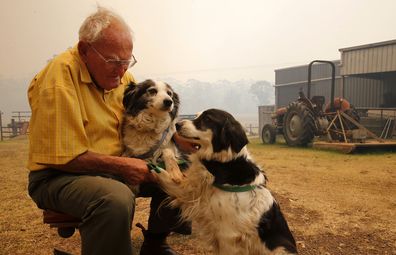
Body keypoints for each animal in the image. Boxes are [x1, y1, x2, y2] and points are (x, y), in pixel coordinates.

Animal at [153, 109, 296, 255]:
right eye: (197, 116)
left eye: (207, 119)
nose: (177, 125)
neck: (225, 163)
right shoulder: (192, 193)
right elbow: (166, 170)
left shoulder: (228, 236)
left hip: (281, 249)